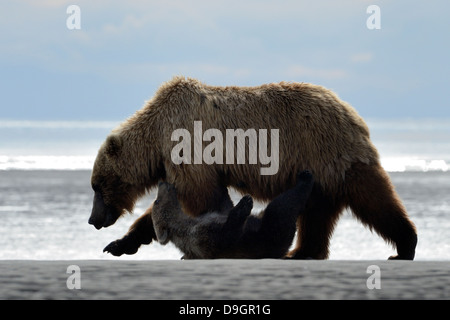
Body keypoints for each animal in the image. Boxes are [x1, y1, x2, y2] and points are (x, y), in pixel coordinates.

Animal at [151, 171, 312, 258]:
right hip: (268, 235)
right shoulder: (202, 238)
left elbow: (224, 204)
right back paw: (305, 178)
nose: (162, 183)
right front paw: (245, 202)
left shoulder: (211, 215)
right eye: (156, 201)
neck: (188, 221)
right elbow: (227, 234)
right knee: (282, 206)